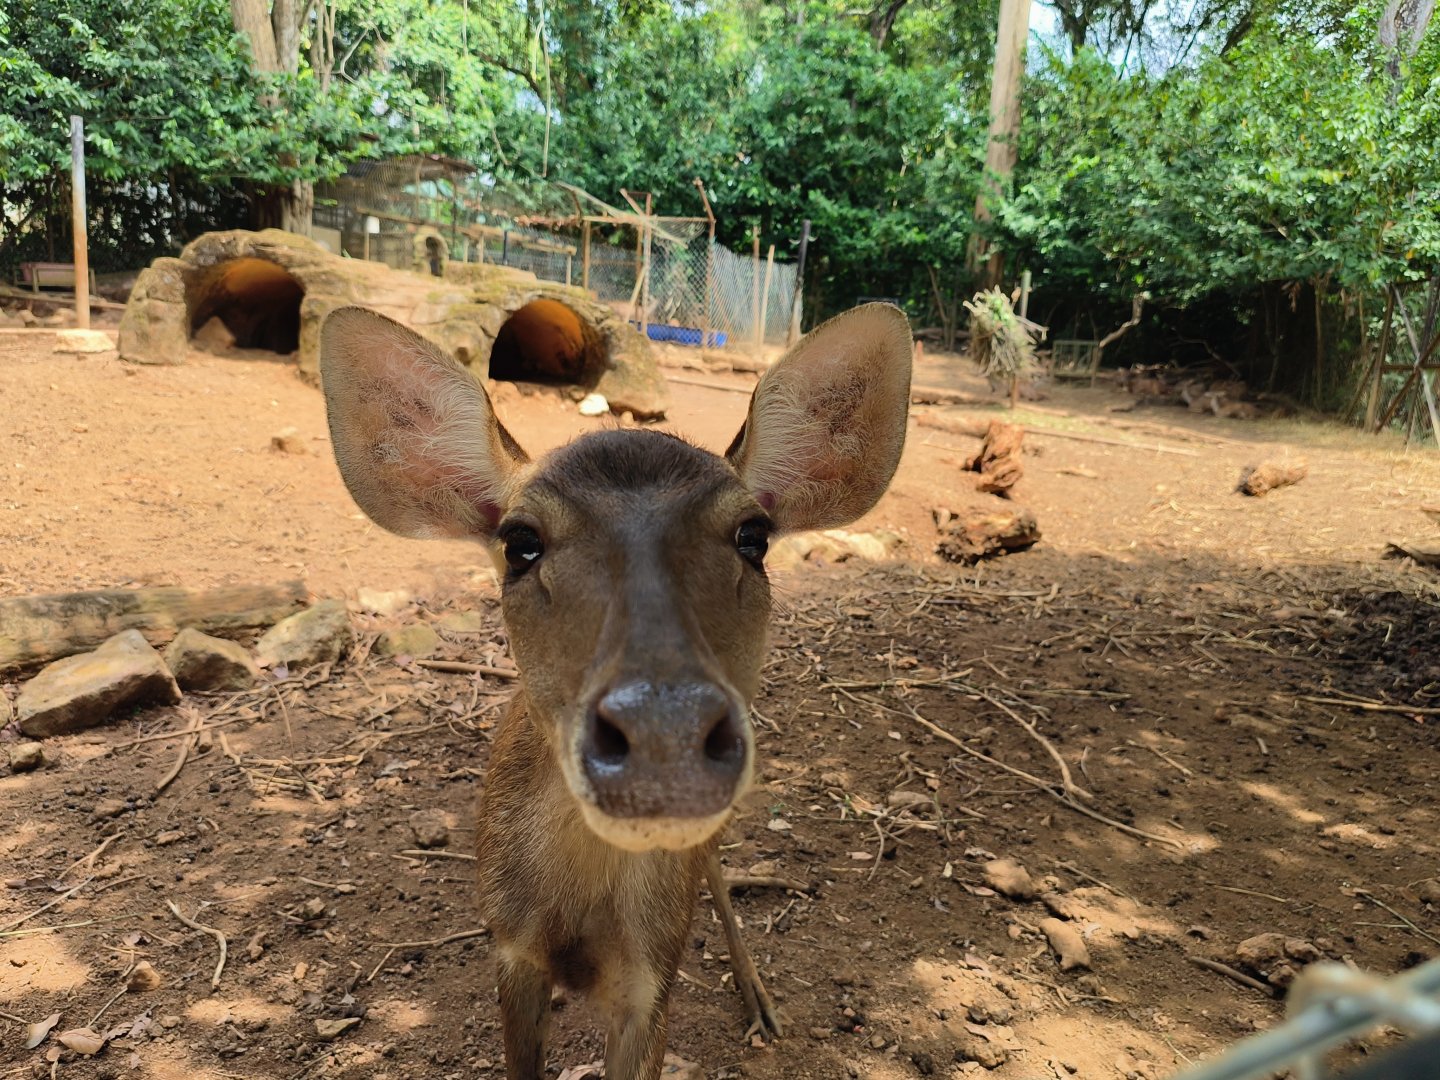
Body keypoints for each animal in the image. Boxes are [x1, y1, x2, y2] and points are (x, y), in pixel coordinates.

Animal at [318, 302, 914, 1079]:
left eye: (753, 535)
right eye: (521, 541)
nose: (664, 730)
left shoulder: (649, 981)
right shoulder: (509, 948)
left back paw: (759, 1000)